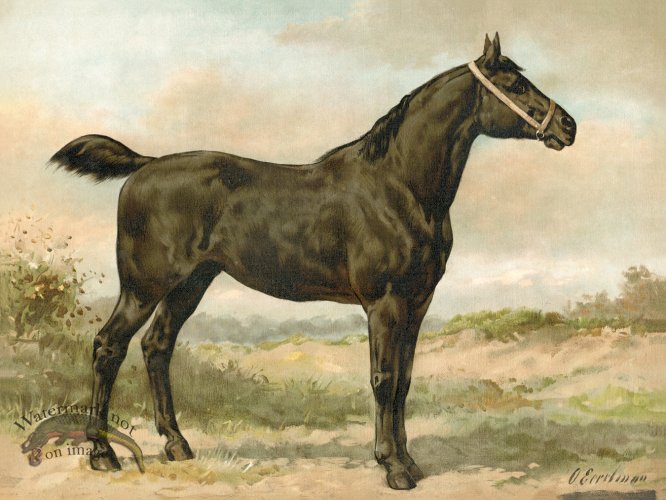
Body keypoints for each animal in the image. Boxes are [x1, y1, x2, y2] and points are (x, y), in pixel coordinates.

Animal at [50, 33, 576, 490]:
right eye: (515, 85)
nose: (568, 126)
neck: (398, 186)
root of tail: (145, 165)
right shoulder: (385, 305)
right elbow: (384, 380)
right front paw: (393, 467)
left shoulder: (418, 302)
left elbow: (404, 383)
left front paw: (409, 461)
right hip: (144, 287)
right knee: (108, 347)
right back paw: (102, 454)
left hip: (190, 284)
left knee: (157, 347)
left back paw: (177, 445)